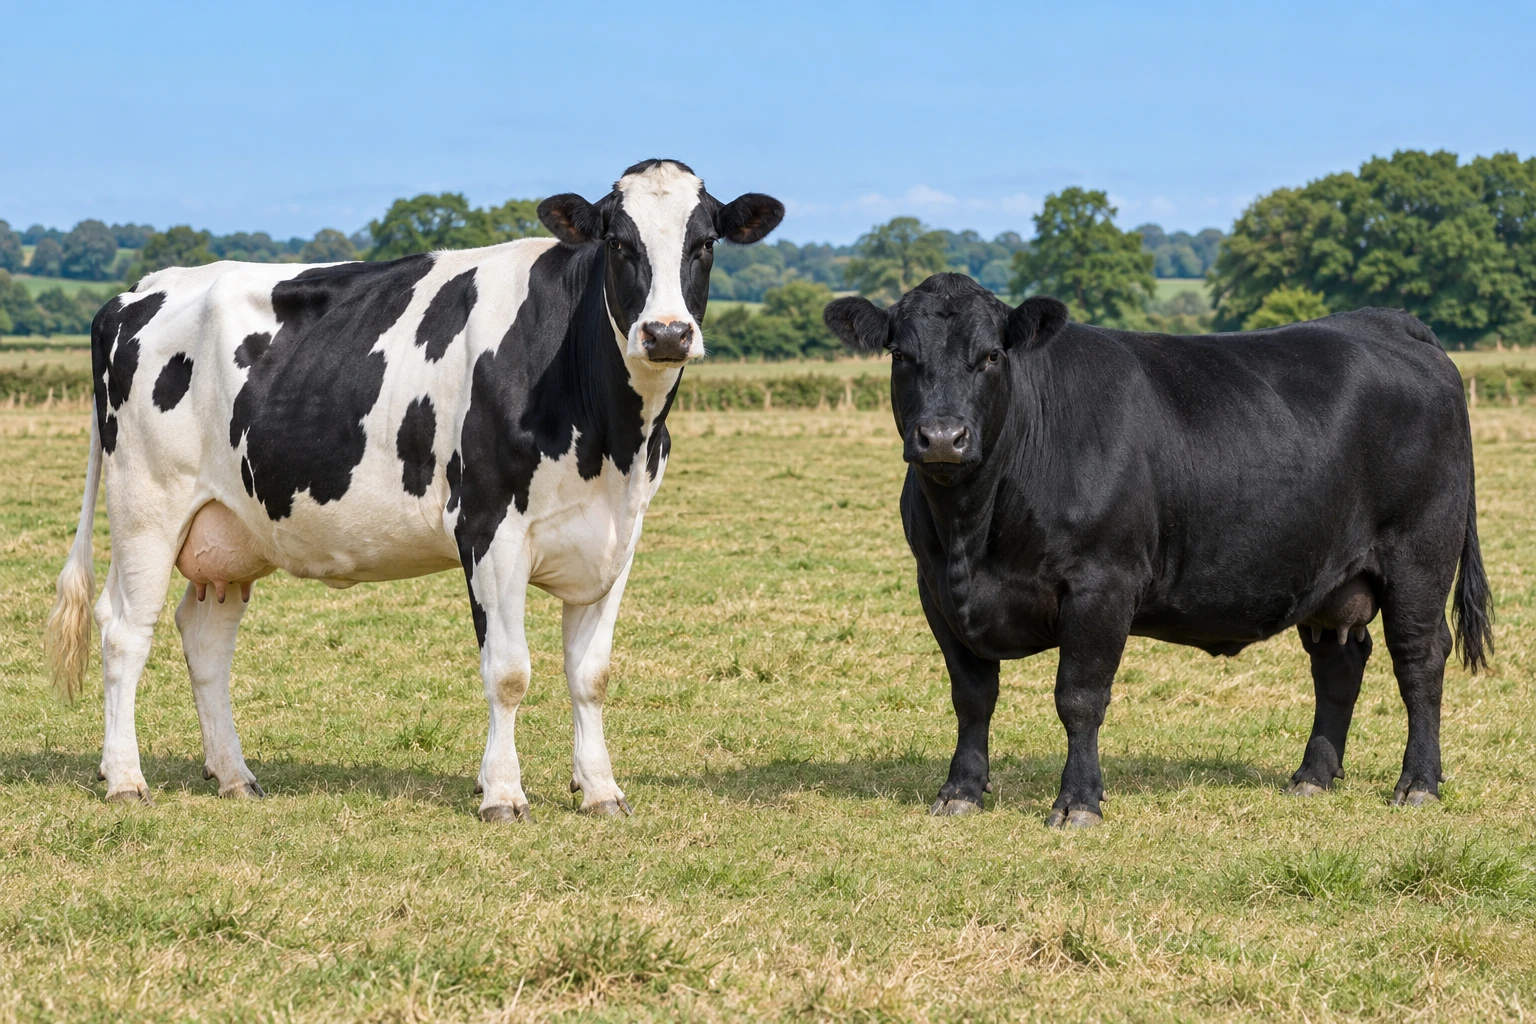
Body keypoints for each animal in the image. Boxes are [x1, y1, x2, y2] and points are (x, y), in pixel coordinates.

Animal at [44, 159, 783, 821]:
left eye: (704, 243)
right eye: (619, 242)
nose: (667, 333)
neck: (611, 438)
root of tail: (138, 291)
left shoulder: (615, 539)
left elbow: (591, 675)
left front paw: (601, 791)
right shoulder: (489, 529)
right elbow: (509, 671)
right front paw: (502, 794)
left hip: (228, 529)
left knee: (204, 640)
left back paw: (234, 776)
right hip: (147, 505)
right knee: (125, 632)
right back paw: (125, 779)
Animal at [824, 274, 1494, 828]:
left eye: (991, 355)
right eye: (901, 356)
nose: (943, 437)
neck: (973, 531)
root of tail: (1385, 322)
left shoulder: (1102, 584)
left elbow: (1079, 698)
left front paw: (1078, 803)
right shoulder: (937, 589)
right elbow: (971, 696)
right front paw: (960, 792)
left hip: (1420, 556)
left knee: (1419, 658)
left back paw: (1418, 784)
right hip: (1331, 579)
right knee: (1339, 665)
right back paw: (1312, 776)